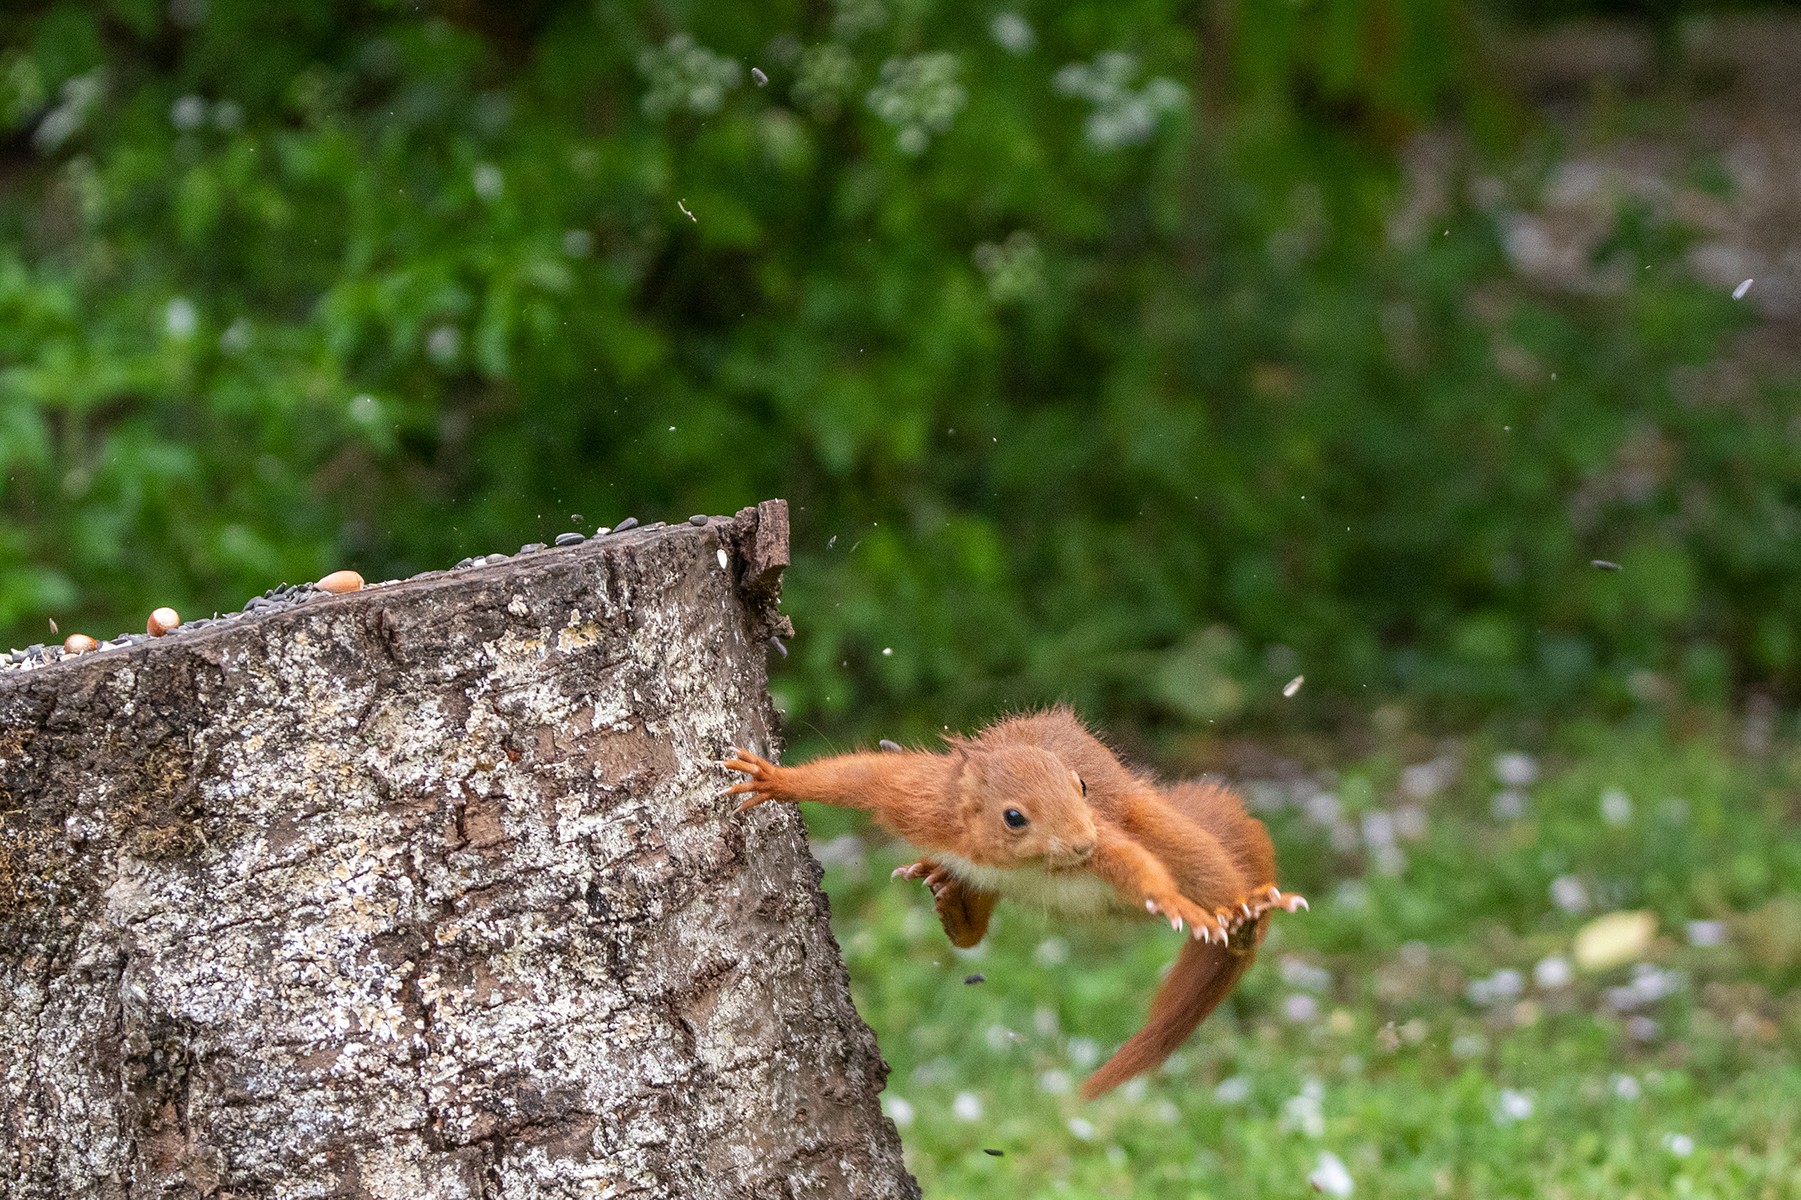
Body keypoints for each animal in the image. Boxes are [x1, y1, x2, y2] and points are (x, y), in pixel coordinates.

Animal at [724, 706, 1303, 1095]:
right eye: (1014, 816)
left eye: (1081, 786)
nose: (1081, 842)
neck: (1011, 860)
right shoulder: (922, 803)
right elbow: (860, 776)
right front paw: (778, 779)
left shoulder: (1104, 837)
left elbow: (1136, 864)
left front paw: (1175, 902)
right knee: (973, 926)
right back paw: (954, 905)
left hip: (1152, 819)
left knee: (1195, 854)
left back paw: (1245, 912)